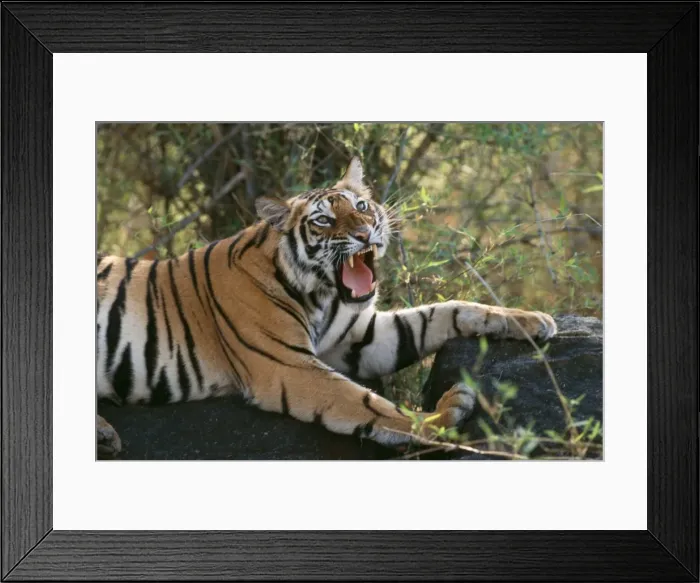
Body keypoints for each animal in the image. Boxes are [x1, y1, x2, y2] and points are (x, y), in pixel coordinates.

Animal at [96, 157, 557, 458]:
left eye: (361, 206)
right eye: (323, 221)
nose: (366, 232)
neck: (320, 294)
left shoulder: (359, 339)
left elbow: (445, 312)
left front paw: (530, 320)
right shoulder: (290, 367)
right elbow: (370, 404)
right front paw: (447, 414)